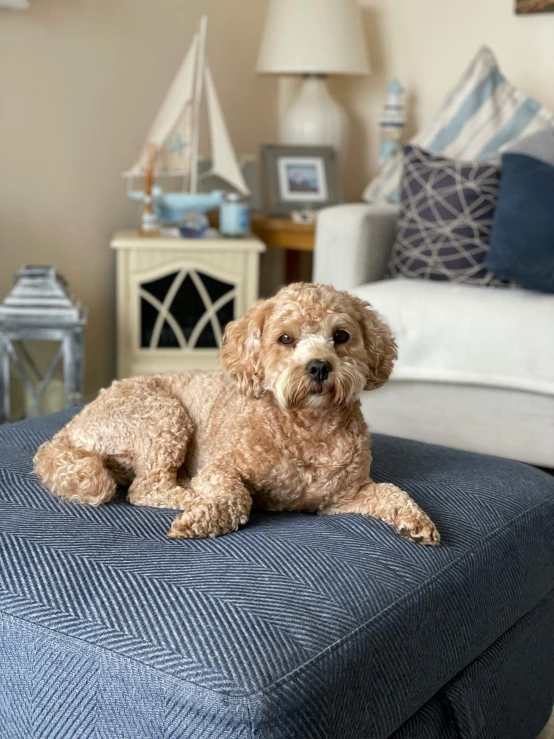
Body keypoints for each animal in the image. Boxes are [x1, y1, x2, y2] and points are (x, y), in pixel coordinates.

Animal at [34, 282, 438, 544]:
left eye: (341, 336)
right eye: (285, 339)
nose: (319, 367)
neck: (307, 426)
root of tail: (72, 425)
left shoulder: (342, 497)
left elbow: (390, 491)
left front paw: (415, 520)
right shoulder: (221, 469)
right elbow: (236, 496)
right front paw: (204, 517)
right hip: (164, 416)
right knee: (147, 488)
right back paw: (192, 496)